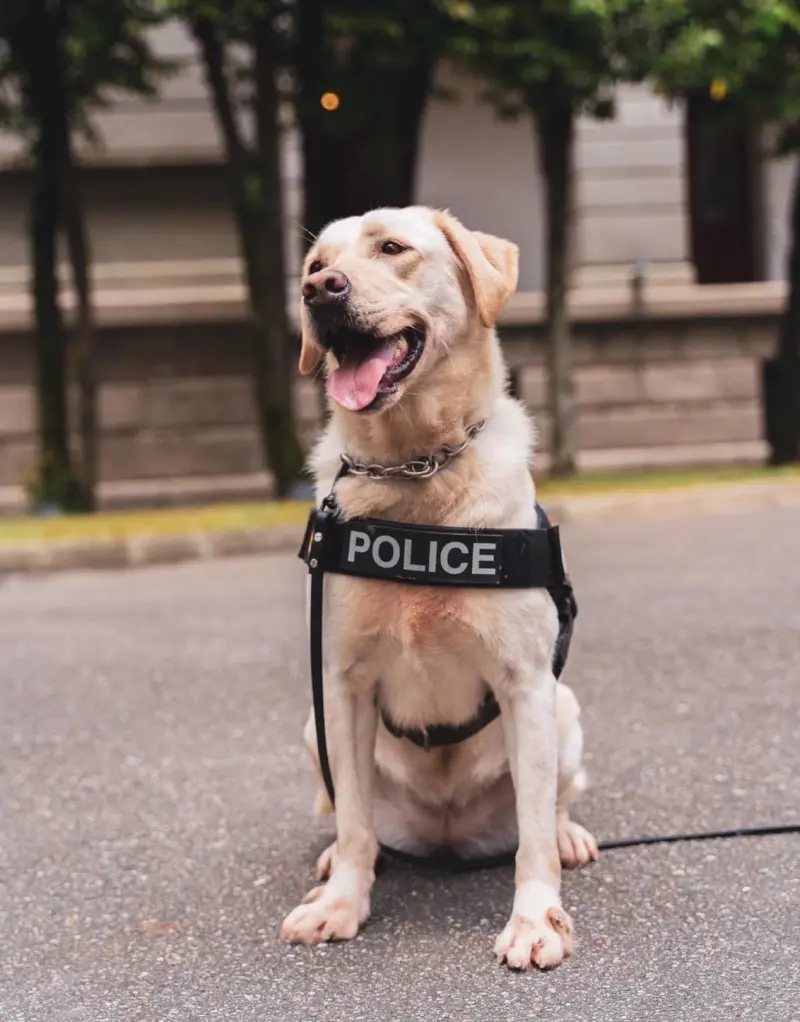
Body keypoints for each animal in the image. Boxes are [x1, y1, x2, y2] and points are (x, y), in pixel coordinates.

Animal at [277, 205, 596, 964]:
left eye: (393, 248)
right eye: (315, 266)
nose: (320, 292)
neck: (416, 470)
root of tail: (447, 833)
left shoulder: (525, 683)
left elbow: (533, 838)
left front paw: (536, 920)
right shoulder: (342, 683)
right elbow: (354, 820)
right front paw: (342, 903)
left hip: (564, 709)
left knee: (552, 805)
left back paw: (569, 835)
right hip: (313, 725)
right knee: (354, 818)